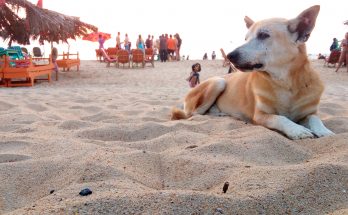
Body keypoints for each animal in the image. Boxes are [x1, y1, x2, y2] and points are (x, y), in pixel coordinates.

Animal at [171, 5, 334, 139]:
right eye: (246, 38)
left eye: (263, 35)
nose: (229, 55)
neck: (284, 83)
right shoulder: (261, 116)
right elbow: (280, 118)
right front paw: (297, 130)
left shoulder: (309, 113)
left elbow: (315, 118)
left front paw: (324, 131)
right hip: (218, 81)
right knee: (193, 114)